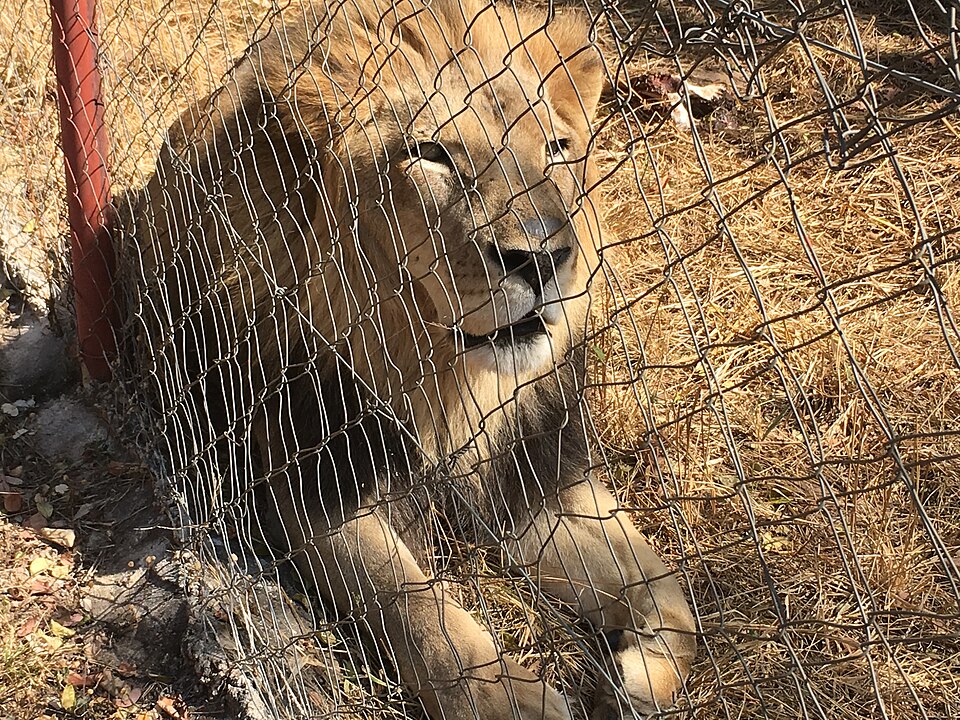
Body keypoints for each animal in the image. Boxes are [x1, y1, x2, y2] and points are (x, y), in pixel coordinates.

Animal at [133, 0, 697, 717]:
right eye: (431, 155)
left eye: (557, 150)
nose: (542, 259)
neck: (451, 383)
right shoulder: (306, 485)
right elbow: (417, 607)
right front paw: (508, 699)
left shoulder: (535, 477)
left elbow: (670, 589)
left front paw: (642, 673)